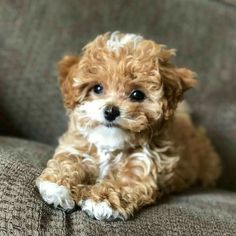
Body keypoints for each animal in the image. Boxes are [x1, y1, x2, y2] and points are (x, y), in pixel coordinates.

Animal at [35, 31, 221, 221]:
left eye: (137, 94)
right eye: (97, 88)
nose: (111, 111)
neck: (111, 146)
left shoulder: (142, 168)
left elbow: (122, 184)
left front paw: (102, 200)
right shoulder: (79, 147)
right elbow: (69, 161)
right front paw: (57, 185)